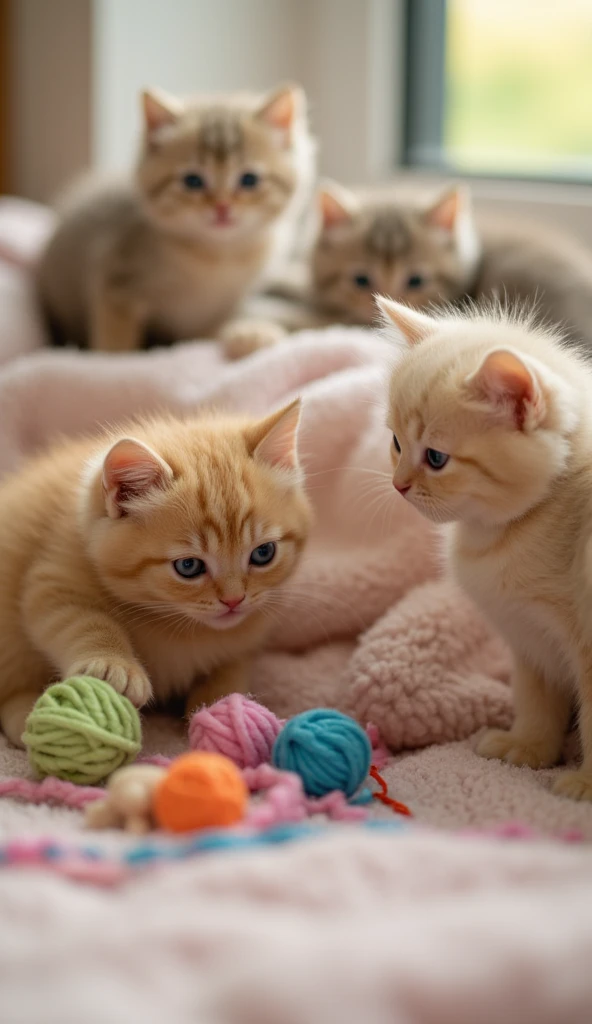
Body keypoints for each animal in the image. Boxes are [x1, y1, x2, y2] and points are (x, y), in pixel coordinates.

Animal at [0, 399, 309, 745]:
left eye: (263, 553)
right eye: (188, 566)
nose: (234, 600)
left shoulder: (245, 636)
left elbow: (233, 664)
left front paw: (224, 702)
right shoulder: (53, 574)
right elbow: (81, 620)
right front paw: (113, 666)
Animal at [35, 82, 313, 356]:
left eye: (249, 180)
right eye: (193, 181)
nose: (222, 207)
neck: (217, 256)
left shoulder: (222, 308)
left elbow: (211, 330)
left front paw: (250, 334)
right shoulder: (116, 279)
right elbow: (116, 338)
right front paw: (111, 359)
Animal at [376, 296, 592, 798]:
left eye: (436, 458)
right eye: (396, 443)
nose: (399, 485)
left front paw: (585, 784)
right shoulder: (530, 633)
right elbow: (535, 695)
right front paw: (528, 747)